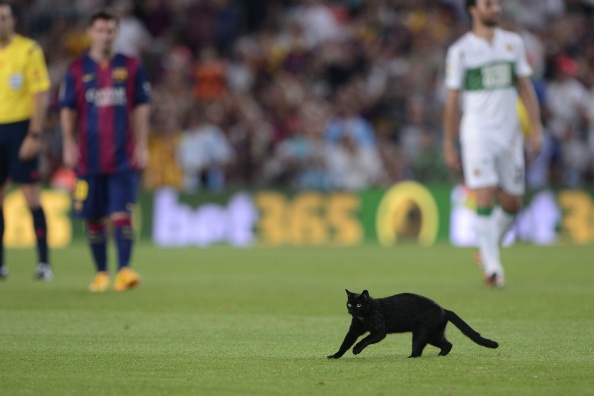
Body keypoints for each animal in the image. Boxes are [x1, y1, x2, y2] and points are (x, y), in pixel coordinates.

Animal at [326, 288, 498, 358]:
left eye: (359, 305)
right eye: (350, 304)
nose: (352, 310)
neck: (364, 316)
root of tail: (443, 309)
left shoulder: (379, 332)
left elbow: (365, 339)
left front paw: (356, 349)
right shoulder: (354, 330)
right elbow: (345, 343)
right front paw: (335, 356)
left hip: (421, 333)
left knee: (418, 350)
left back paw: (410, 357)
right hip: (433, 335)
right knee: (448, 344)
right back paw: (440, 355)